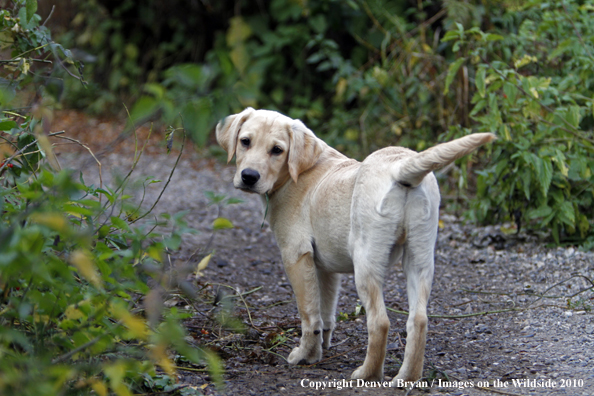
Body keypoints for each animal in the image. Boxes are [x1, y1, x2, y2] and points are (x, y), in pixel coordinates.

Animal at [215, 108, 492, 384]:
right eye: (245, 141)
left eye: (277, 150)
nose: (249, 176)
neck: (298, 174)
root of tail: (400, 166)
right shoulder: (325, 267)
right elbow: (325, 311)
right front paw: (320, 350)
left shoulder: (296, 255)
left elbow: (309, 314)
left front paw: (304, 355)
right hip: (420, 257)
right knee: (419, 320)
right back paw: (407, 377)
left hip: (366, 263)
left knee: (379, 322)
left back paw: (368, 373)